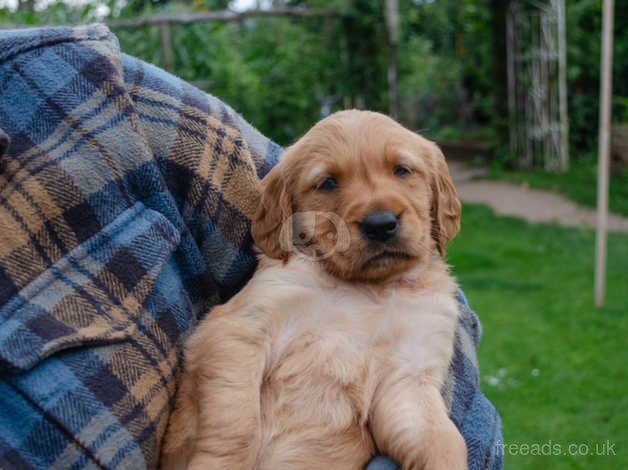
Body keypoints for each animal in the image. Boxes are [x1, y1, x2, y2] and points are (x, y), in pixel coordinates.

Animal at [162, 110, 466, 470]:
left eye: (402, 170)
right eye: (328, 183)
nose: (380, 224)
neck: (368, 289)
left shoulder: (408, 377)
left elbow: (445, 441)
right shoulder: (239, 329)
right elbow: (236, 423)